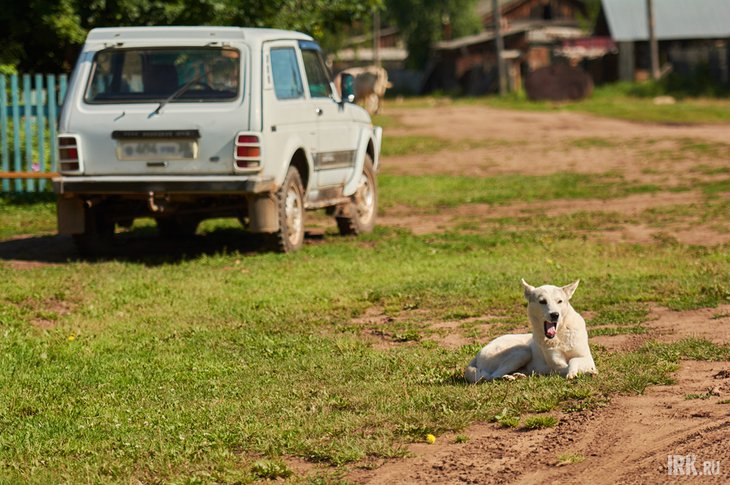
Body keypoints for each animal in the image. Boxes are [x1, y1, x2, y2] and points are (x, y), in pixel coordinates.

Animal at [464, 280, 596, 382]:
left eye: (560, 301)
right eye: (542, 301)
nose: (555, 315)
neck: (560, 335)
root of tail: (477, 355)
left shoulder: (587, 358)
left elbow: (575, 360)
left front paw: (585, 371)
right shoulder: (556, 365)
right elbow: (563, 366)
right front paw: (581, 372)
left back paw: (518, 375)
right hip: (523, 351)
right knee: (492, 376)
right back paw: (507, 377)